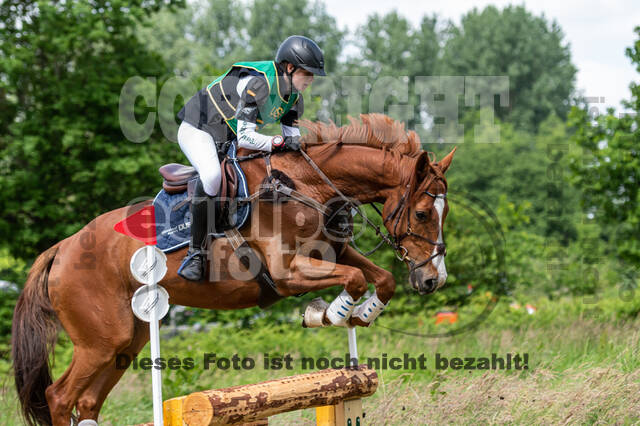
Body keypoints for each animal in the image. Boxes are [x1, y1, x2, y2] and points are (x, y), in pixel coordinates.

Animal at [11, 113, 456, 425]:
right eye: (421, 213)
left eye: (444, 212)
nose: (433, 279)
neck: (304, 184)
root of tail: (63, 248)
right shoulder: (287, 271)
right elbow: (357, 278)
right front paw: (326, 313)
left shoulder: (334, 251)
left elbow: (381, 278)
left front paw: (359, 314)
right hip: (100, 341)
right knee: (60, 397)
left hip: (127, 339)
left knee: (87, 401)